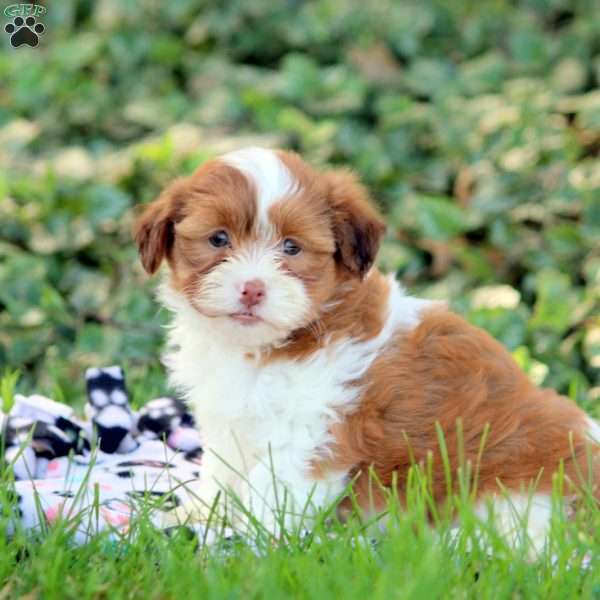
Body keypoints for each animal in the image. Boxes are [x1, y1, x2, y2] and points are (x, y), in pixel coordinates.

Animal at [136, 146, 600, 548]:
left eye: (291, 247)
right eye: (218, 240)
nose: (252, 288)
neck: (276, 344)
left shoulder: (312, 429)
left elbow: (271, 491)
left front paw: (247, 540)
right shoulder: (229, 422)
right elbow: (221, 474)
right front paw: (198, 514)